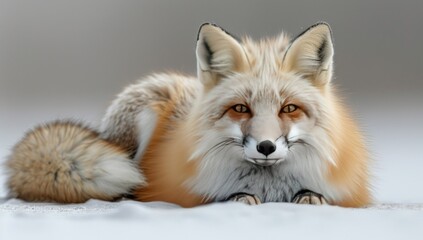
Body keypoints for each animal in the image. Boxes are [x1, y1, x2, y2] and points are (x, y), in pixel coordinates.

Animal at [4, 22, 372, 206]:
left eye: (289, 108)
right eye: (240, 108)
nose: (266, 147)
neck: (269, 188)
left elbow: (314, 196)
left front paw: (309, 196)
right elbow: (226, 197)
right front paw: (239, 197)